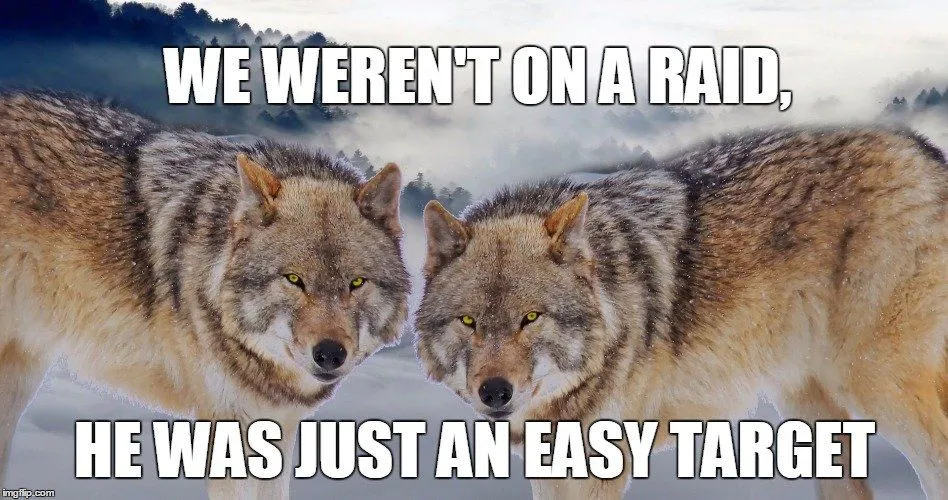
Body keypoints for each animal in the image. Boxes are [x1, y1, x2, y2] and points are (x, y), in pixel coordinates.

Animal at [416, 127, 948, 499]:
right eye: (469, 322)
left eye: (531, 318)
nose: (495, 392)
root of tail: (923, 149)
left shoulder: (598, 466)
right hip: (809, 410)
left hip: (877, 386)